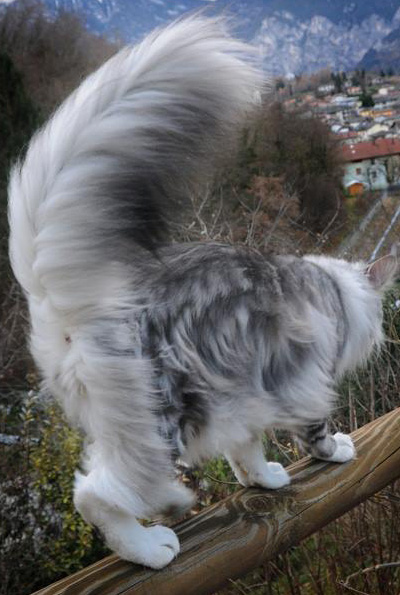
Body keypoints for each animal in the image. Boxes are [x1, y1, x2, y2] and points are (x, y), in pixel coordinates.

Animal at [7, 17, 398, 568]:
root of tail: (68, 306)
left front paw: (263, 478)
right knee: (96, 494)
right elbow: (314, 430)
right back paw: (151, 543)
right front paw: (336, 449)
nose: (379, 341)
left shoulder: (245, 396)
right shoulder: (303, 379)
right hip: (160, 417)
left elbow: (246, 451)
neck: (334, 290)